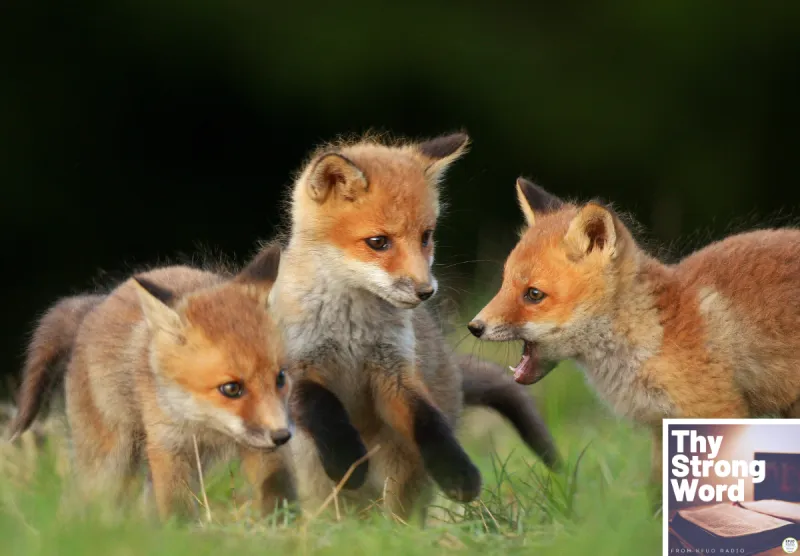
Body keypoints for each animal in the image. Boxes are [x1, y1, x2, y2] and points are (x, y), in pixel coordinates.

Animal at [8, 245, 305, 520]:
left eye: (280, 378)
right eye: (231, 388)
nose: (282, 435)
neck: (207, 426)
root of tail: (95, 306)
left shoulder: (264, 449)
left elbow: (279, 495)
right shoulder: (167, 444)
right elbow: (177, 510)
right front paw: (181, 536)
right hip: (108, 465)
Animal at [266, 132, 560, 520]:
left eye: (425, 236)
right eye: (378, 242)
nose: (426, 291)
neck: (351, 330)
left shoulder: (394, 372)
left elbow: (427, 421)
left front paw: (458, 473)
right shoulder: (297, 367)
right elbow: (322, 407)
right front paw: (348, 460)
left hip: (403, 471)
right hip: (316, 476)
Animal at [468, 177, 800, 494]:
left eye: (534, 294)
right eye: (504, 284)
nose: (474, 327)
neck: (656, 334)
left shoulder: (717, 414)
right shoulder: (662, 428)